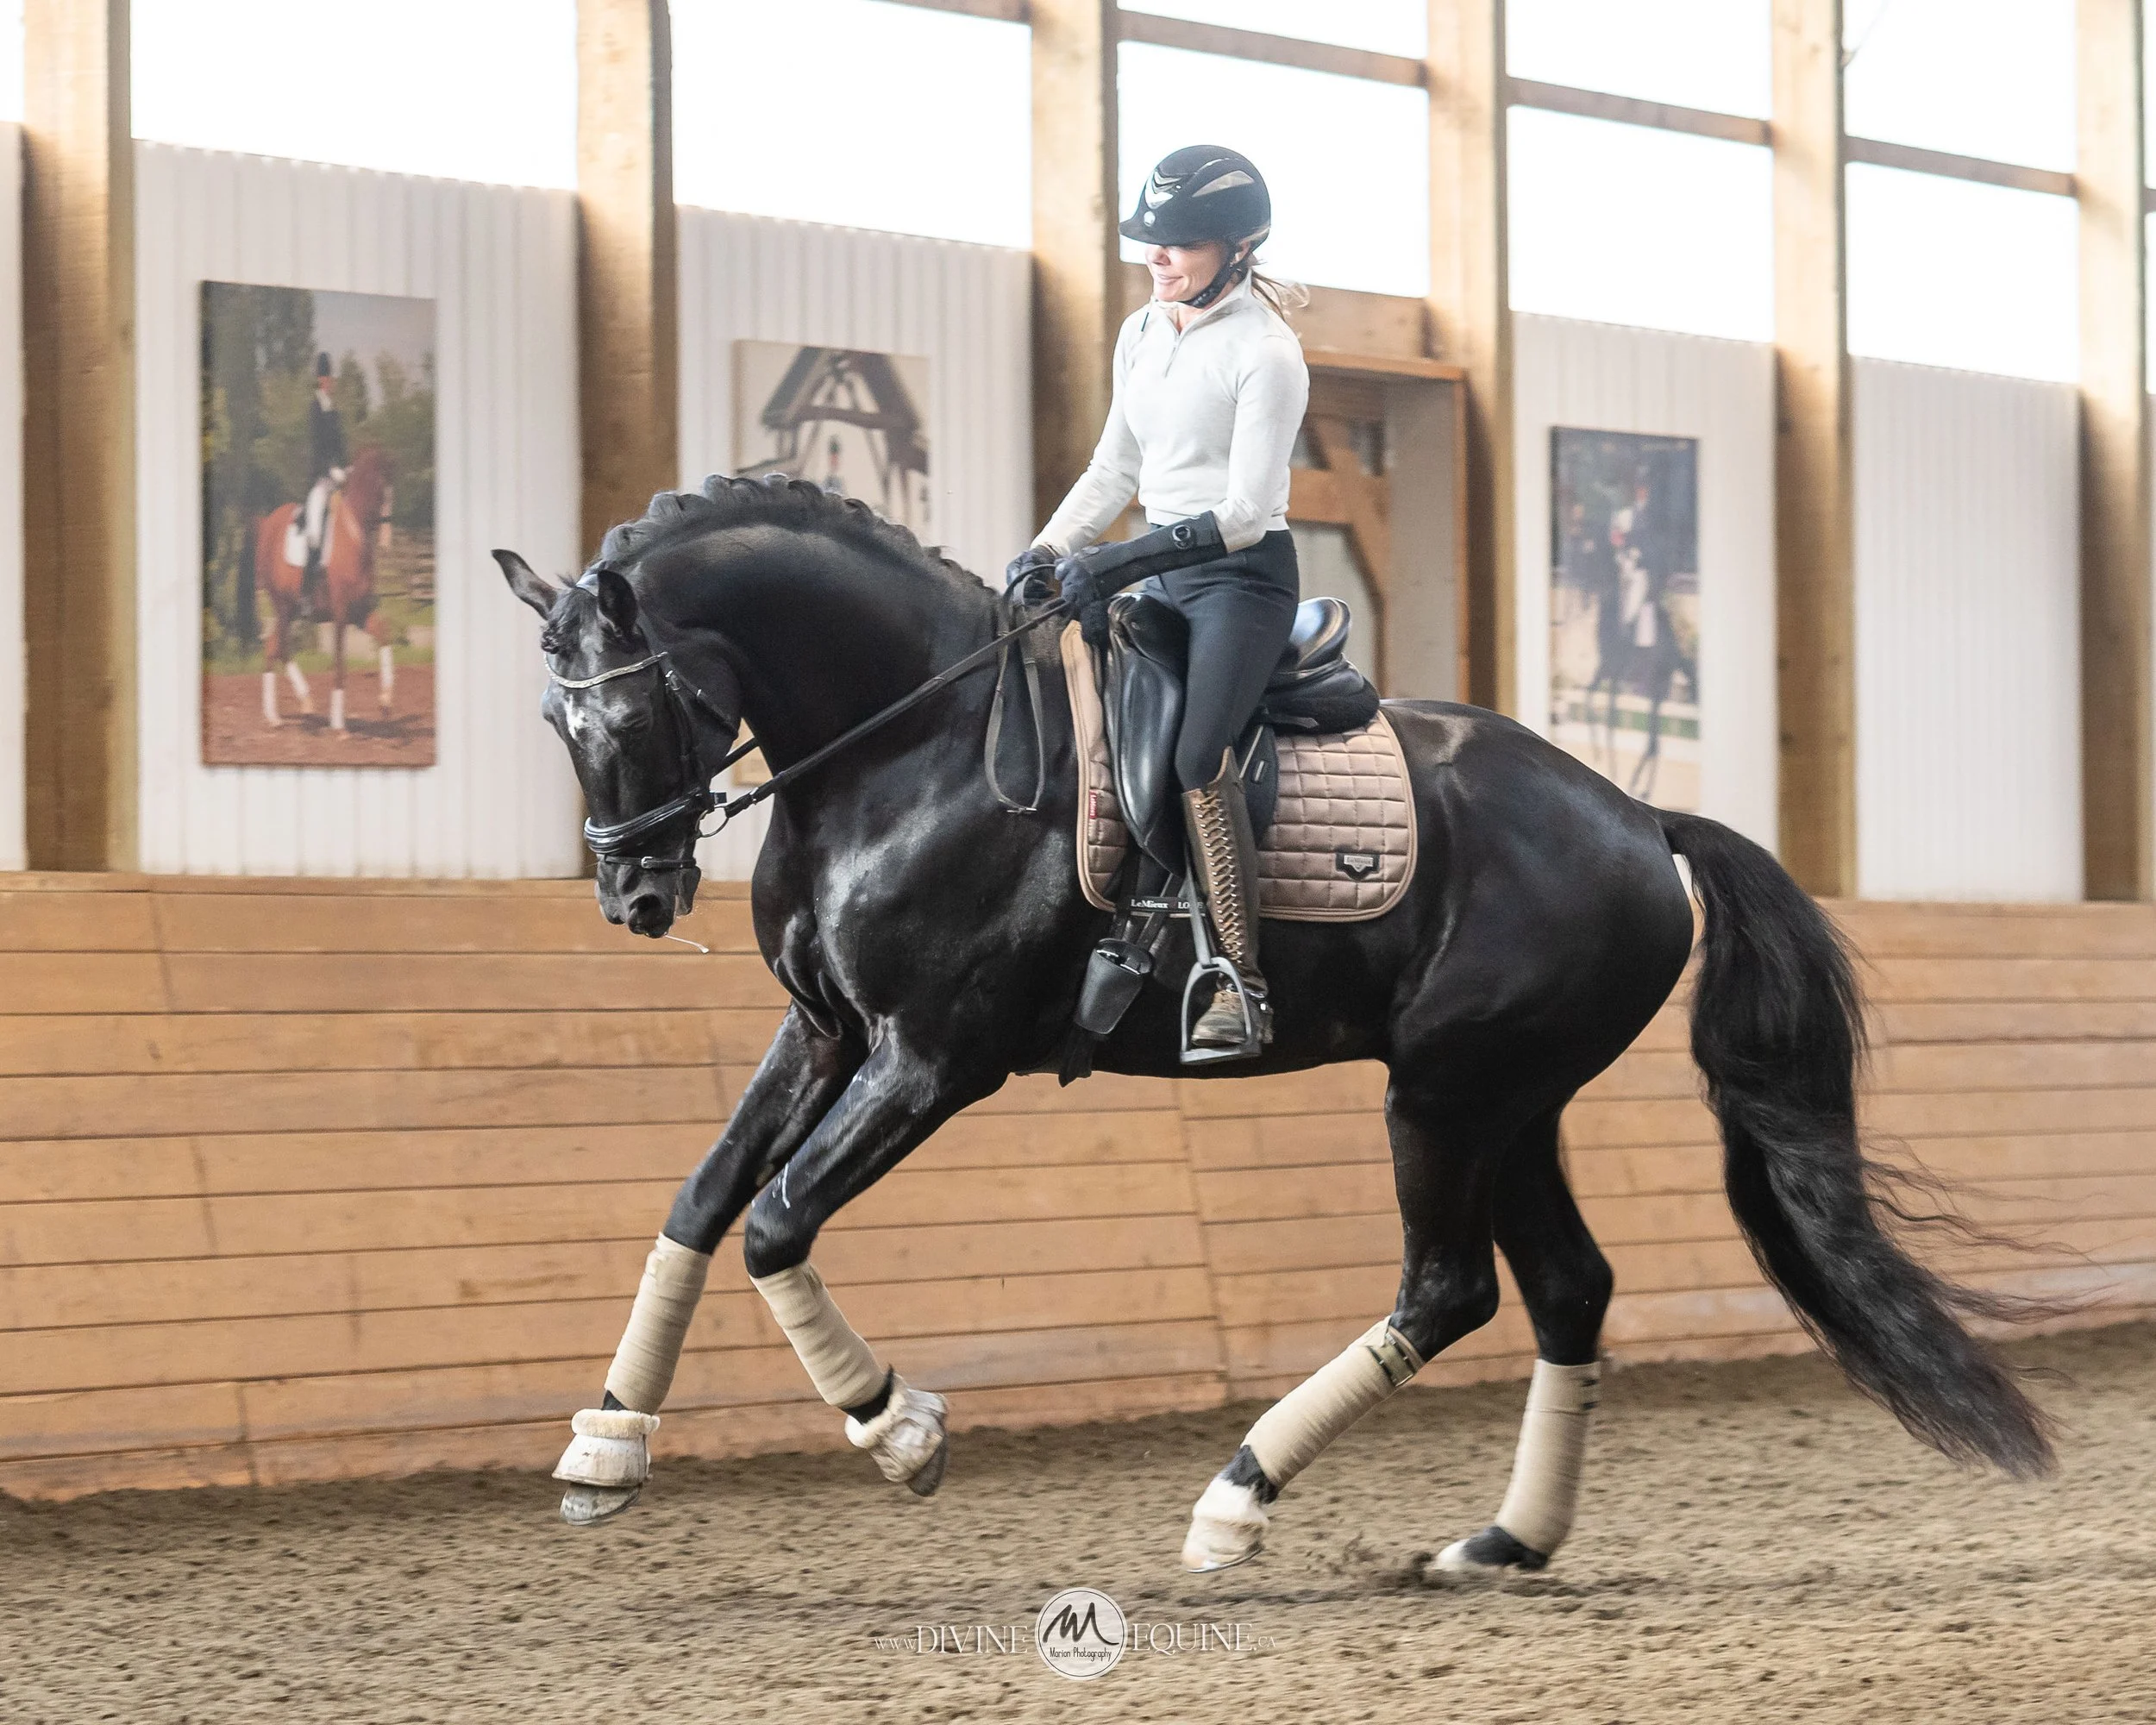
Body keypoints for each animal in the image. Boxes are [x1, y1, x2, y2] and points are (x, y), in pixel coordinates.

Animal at [255, 444, 396, 734]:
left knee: (275, 645)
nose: (387, 538)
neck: (354, 539)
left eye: (393, 486)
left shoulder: (359, 612)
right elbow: (340, 663)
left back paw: (288, 709)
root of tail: (268, 523)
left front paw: (386, 701)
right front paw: (339, 725)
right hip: (284, 607)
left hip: (291, 610)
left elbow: (384, 635)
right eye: (379, 486)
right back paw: (284, 711)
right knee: (278, 646)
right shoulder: (341, 614)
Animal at [493, 474, 2051, 1579]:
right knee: (1566, 1290)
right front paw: (606, 1447)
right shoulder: (821, 1034)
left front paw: (901, 1431)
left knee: (1449, 1290)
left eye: (634, 714)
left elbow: (777, 1223)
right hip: (1511, 1101)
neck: (912, 749)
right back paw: (1506, 1541)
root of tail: (1633, 814)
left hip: (1445, 1096)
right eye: (560, 727)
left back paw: (1234, 1504)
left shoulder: (935, 1060)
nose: (636, 895)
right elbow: (703, 1202)